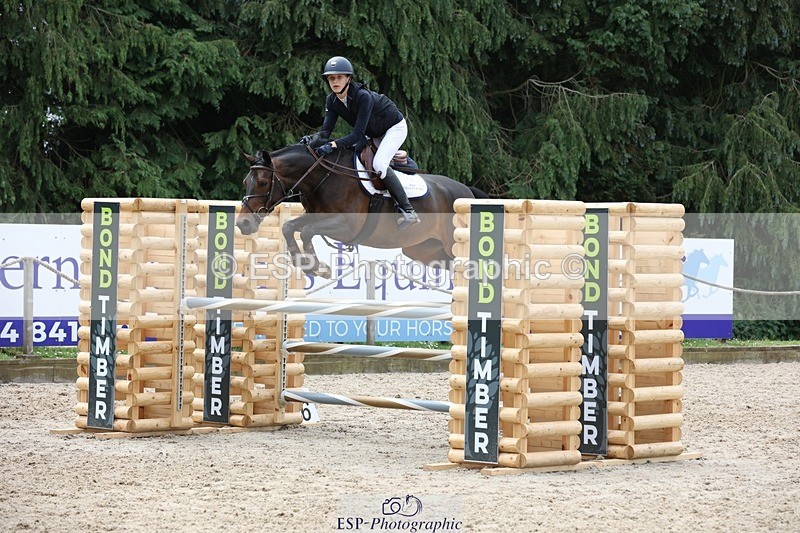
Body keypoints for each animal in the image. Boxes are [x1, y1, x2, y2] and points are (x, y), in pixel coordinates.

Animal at [235, 141, 488, 278]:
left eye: (263, 182)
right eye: (245, 181)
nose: (243, 224)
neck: (323, 177)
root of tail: (467, 191)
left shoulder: (347, 227)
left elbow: (307, 232)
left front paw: (318, 267)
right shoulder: (315, 216)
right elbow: (289, 227)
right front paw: (308, 265)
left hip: (450, 246)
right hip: (425, 251)